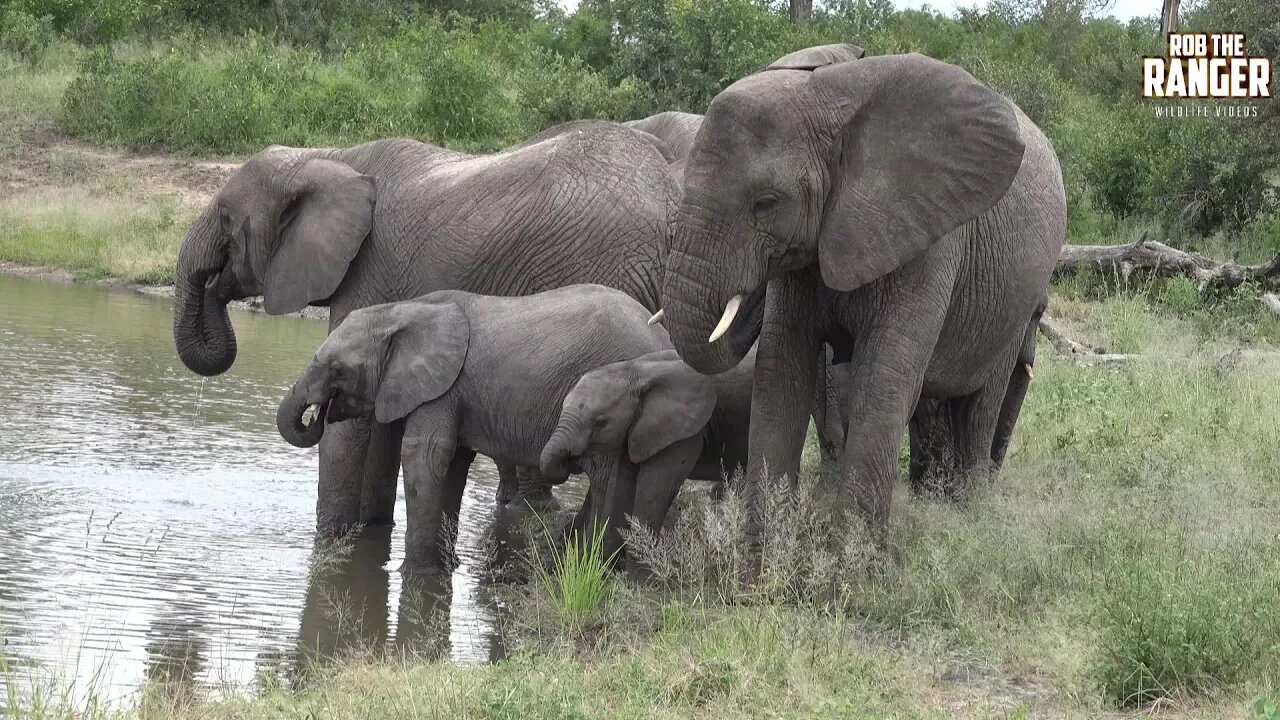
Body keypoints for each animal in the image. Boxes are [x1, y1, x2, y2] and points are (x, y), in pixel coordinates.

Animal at [176, 122, 686, 532]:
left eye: (226, 217)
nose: (215, 282)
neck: (326, 158)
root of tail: (671, 198)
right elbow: (383, 418)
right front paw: (370, 532)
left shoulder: (369, 271)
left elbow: (355, 424)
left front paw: (331, 537)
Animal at [273, 283, 701, 573]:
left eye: (337, 370)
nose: (318, 414)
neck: (402, 311)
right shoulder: (453, 393)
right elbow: (452, 466)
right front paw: (446, 567)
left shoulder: (441, 389)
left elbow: (425, 456)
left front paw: (415, 572)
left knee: (608, 482)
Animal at [655, 49, 1064, 538]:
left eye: (767, 203)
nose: (745, 297)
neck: (831, 96)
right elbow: (779, 372)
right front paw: (764, 555)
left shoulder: (929, 236)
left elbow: (882, 380)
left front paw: (853, 557)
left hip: (1015, 299)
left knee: (981, 400)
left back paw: (971, 509)